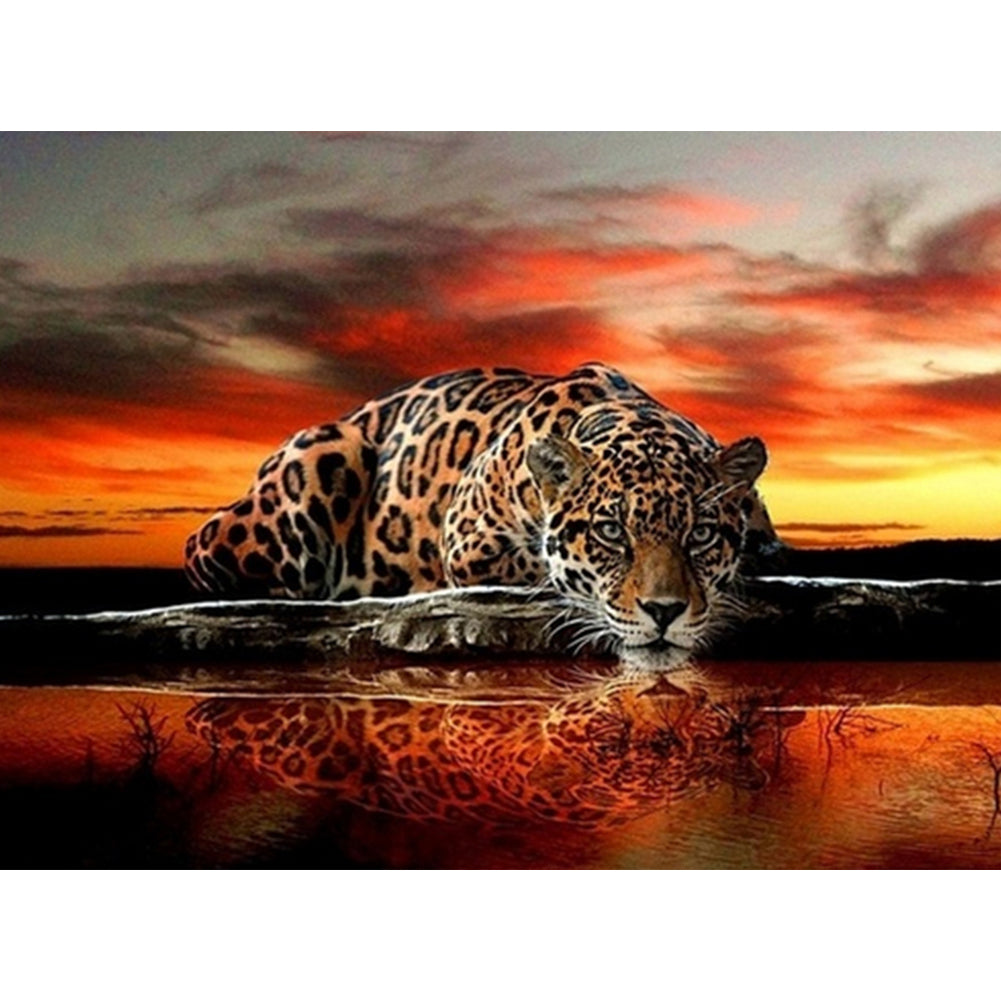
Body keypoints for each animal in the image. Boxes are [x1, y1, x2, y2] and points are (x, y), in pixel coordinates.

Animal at [184, 362, 773, 653]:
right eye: (610, 532)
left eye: (700, 535)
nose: (664, 613)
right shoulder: (469, 541)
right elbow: (541, 566)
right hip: (319, 460)